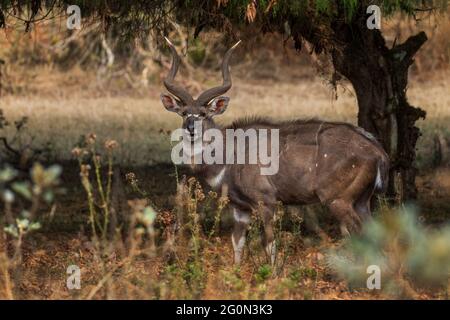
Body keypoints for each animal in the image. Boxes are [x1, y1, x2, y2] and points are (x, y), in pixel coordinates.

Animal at [160, 37, 388, 264]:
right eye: (183, 113)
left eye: (203, 113)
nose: (190, 128)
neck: (230, 155)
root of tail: (377, 151)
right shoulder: (240, 207)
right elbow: (237, 242)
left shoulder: (266, 201)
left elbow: (269, 243)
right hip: (362, 201)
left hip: (338, 200)